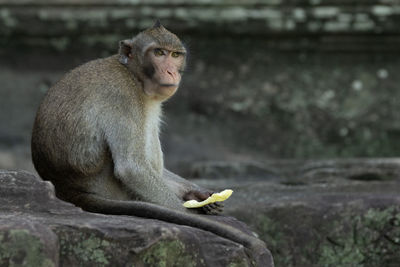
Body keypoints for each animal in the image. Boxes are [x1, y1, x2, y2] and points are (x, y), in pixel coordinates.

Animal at [30, 22, 268, 264]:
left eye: (175, 55)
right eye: (159, 53)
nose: (171, 71)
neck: (133, 76)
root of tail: (66, 188)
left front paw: (200, 195)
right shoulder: (123, 97)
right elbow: (132, 168)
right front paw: (188, 212)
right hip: (113, 188)